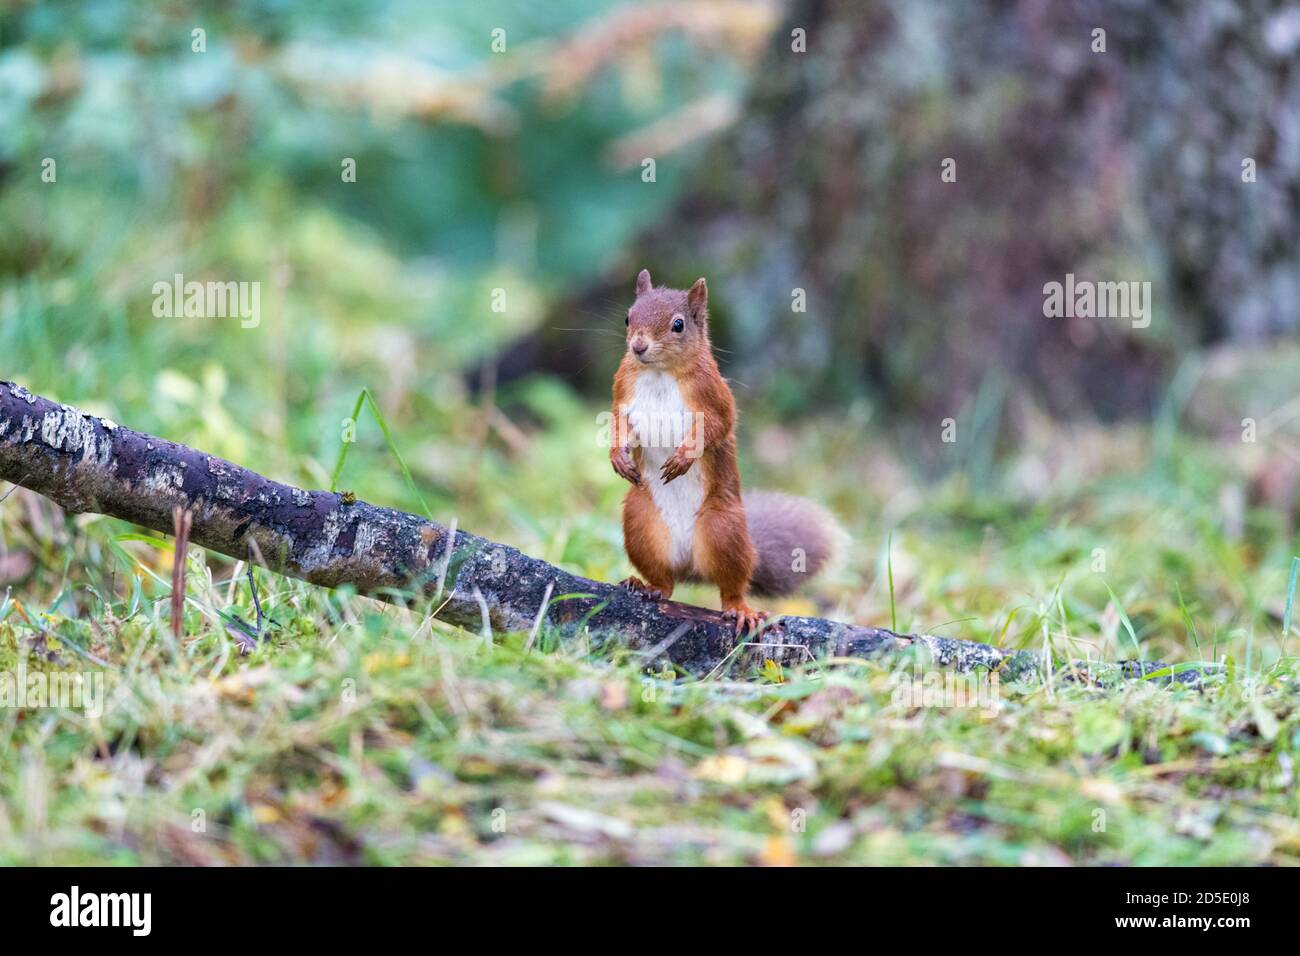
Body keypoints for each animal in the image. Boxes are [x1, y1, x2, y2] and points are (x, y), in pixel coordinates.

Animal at [611, 267, 842, 634]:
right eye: (627, 317)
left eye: (678, 325)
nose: (638, 346)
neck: (659, 371)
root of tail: (689, 565)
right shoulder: (623, 389)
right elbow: (617, 423)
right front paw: (617, 457)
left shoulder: (713, 394)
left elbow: (718, 426)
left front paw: (683, 459)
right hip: (640, 521)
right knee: (666, 582)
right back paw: (645, 585)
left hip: (723, 529)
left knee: (731, 585)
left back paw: (741, 609)